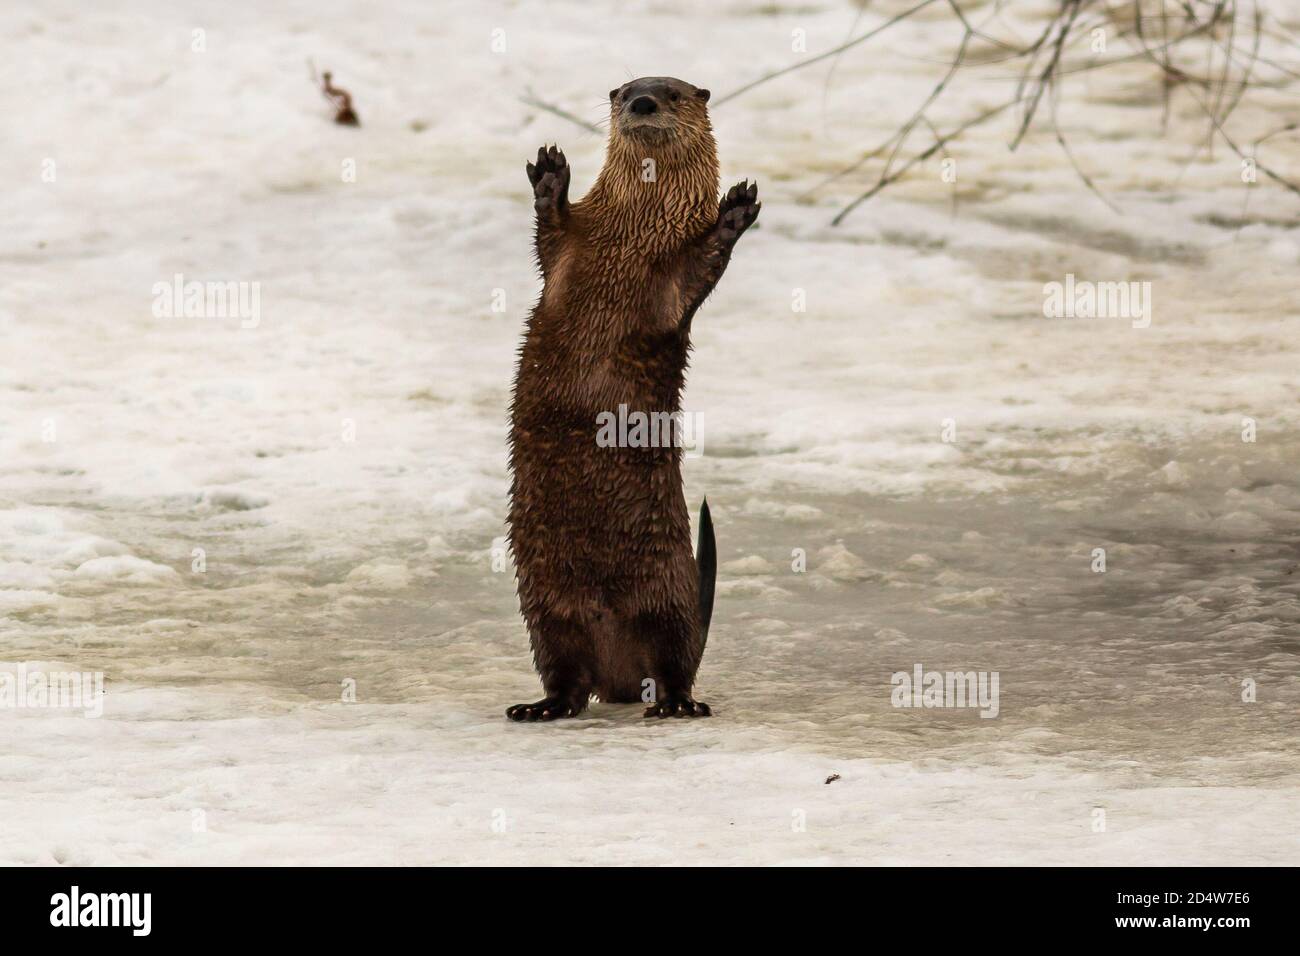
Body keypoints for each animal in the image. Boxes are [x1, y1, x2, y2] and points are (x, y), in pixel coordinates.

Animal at [501, 74, 759, 723]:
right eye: (625, 91)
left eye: (672, 93)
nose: (641, 103)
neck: (631, 234)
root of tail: (618, 672)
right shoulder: (573, 248)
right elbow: (550, 235)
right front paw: (550, 176)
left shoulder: (672, 281)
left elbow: (699, 271)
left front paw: (735, 211)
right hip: (543, 604)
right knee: (564, 673)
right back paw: (539, 707)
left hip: (667, 591)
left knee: (676, 661)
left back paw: (677, 705)